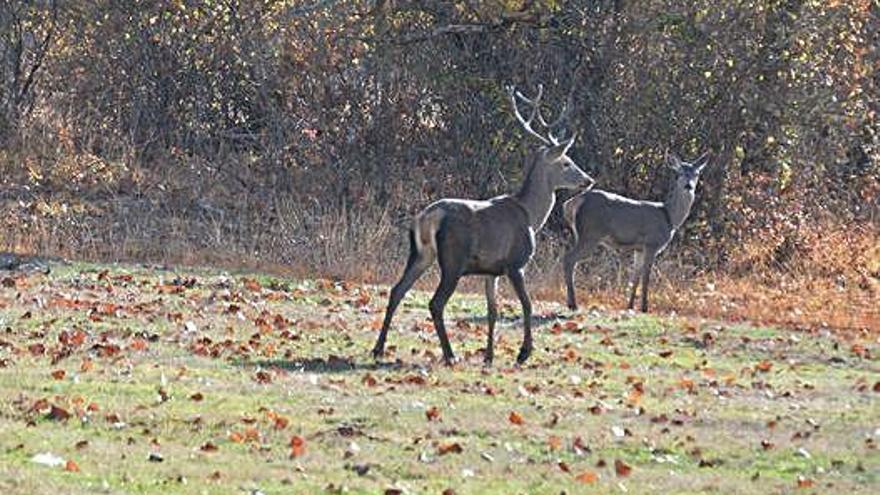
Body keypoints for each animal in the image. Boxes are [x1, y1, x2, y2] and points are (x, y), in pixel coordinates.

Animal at [374, 85, 596, 366]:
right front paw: (524, 352)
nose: (588, 179)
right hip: (453, 260)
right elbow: (527, 304)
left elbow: (493, 310)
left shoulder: (492, 271)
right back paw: (450, 355)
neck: (530, 216)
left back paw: (379, 349)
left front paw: (489, 356)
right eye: (566, 162)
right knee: (435, 303)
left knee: (396, 290)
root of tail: (428, 218)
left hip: (420, 254)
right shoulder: (515, 263)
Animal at [564, 153, 708, 312]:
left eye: (696, 173)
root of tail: (573, 202)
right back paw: (573, 304)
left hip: (582, 234)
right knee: (569, 259)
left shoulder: (639, 248)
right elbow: (646, 277)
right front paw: (644, 307)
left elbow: (635, 277)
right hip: (590, 233)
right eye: (679, 173)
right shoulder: (651, 243)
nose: (688, 185)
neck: (669, 217)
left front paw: (630, 306)